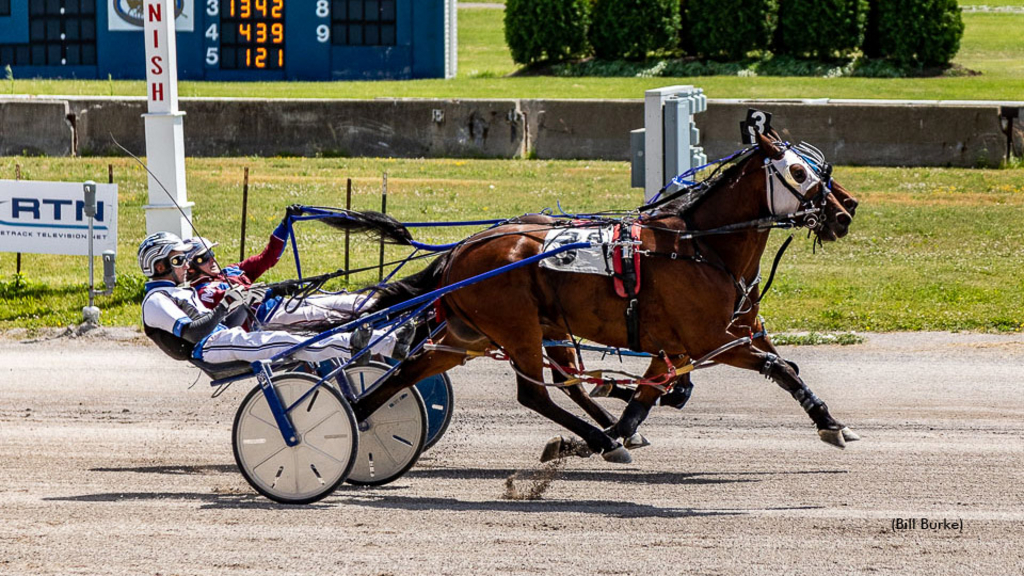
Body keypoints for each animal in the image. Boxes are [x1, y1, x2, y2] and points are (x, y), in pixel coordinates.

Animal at [333, 131, 856, 461]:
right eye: (798, 172)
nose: (844, 213)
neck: (702, 247)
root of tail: (461, 248)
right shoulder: (709, 341)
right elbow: (779, 368)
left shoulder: (716, 336)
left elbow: (654, 394)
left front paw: (829, 419)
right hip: (518, 329)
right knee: (534, 393)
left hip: (475, 335)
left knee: (412, 370)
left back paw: (356, 416)